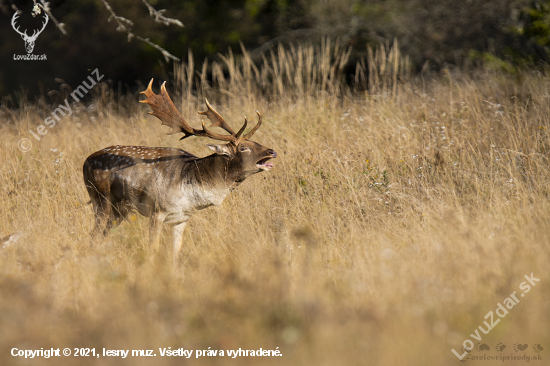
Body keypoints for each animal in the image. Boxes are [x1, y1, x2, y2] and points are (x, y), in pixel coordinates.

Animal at [83, 80, 276, 264]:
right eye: (244, 148)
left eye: (255, 142)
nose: (272, 151)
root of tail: (86, 161)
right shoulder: (157, 210)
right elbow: (153, 249)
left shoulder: (182, 217)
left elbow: (176, 252)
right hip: (100, 199)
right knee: (94, 234)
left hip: (120, 210)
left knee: (99, 236)